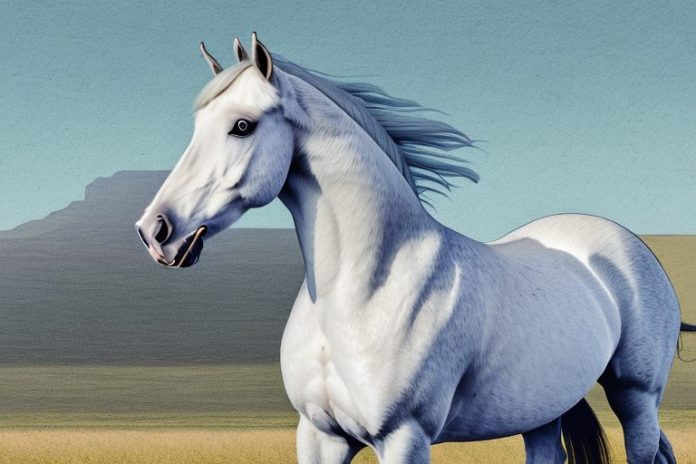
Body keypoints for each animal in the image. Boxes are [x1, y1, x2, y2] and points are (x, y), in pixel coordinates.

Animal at [135, 33, 694, 463]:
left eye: (242, 126)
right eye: (197, 128)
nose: (154, 230)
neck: (363, 289)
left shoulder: (404, 437)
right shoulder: (320, 436)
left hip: (636, 396)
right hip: (541, 409)